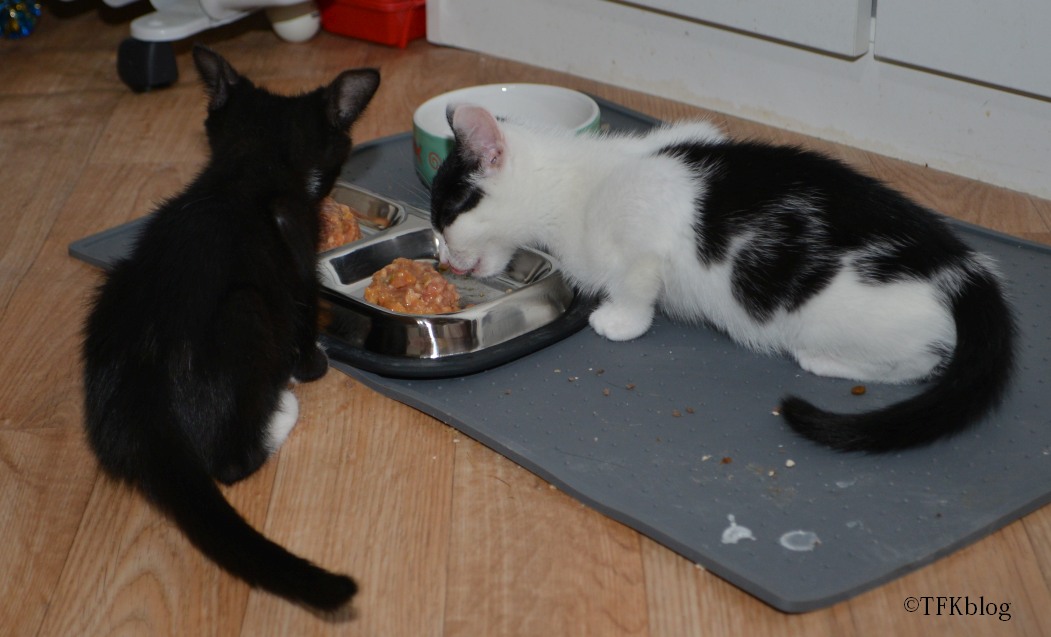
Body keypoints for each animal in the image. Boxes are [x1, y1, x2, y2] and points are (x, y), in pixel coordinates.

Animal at [82, 45, 379, 611]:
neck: (247, 166)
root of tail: (140, 408)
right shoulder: (297, 257)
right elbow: (304, 318)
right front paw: (313, 363)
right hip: (247, 313)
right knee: (231, 464)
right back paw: (280, 413)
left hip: (111, 289)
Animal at [430, 104, 1016, 453]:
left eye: (447, 214)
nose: (441, 257)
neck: (576, 182)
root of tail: (963, 266)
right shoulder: (698, 133)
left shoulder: (646, 228)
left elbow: (637, 283)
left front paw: (618, 321)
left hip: (843, 316)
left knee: (918, 360)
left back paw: (824, 359)